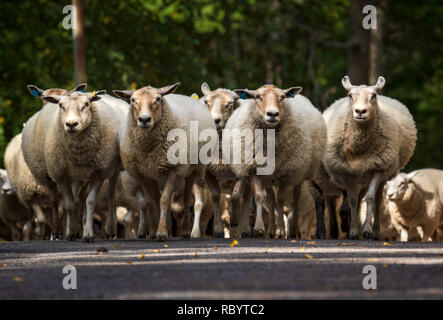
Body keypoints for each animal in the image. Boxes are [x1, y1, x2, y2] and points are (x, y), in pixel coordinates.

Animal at [21, 84, 128, 241]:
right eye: (61, 105)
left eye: (86, 104)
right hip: (51, 175)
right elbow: (69, 204)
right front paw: (70, 231)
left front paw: (87, 233)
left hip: (106, 170)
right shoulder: (60, 174)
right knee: (56, 201)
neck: (79, 153)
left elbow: (89, 201)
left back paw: (106, 229)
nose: (71, 124)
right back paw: (59, 232)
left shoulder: (98, 173)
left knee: (106, 194)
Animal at [113, 82, 218, 240]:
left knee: (187, 199)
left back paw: (186, 230)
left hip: (195, 170)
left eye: (157, 99)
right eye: (132, 100)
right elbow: (152, 202)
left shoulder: (175, 170)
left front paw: (161, 232)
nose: (144, 119)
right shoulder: (144, 175)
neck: (150, 150)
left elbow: (163, 200)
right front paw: (153, 231)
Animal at [225, 84, 326, 239]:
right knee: (270, 199)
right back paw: (269, 229)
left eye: (282, 97)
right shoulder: (253, 169)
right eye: (258, 97)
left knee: (295, 197)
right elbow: (260, 197)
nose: (272, 114)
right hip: (268, 177)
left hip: (300, 172)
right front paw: (259, 228)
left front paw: (281, 230)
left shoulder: (286, 173)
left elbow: (281, 199)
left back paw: (291, 229)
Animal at [322, 75, 416, 240]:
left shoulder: (378, 169)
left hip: (382, 173)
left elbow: (370, 198)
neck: (360, 148)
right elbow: (353, 200)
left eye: (373, 95)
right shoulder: (345, 172)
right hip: (357, 177)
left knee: (377, 200)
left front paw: (367, 230)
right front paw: (353, 231)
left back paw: (375, 231)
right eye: (350, 95)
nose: (360, 111)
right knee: (355, 198)